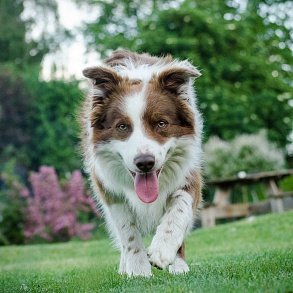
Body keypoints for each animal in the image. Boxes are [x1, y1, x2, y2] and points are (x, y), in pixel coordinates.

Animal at [80, 50, 203, 276]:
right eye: (122, 127)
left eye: (161, 123)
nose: (145, 163)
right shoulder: (109, 190)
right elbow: (127, 232)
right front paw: (138, 271)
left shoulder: (189, 173)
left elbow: (179, 210)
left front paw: (163, 252)